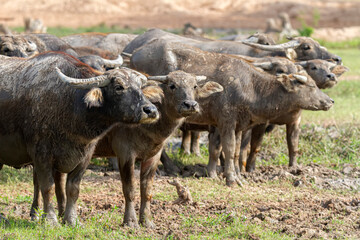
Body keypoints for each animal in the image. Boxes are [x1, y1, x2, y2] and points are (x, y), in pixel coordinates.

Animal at [0, 51, 160, 225]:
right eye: (119, 87)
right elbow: (47, 187)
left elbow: (73, 189)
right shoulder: (41, 154)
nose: (150, 110)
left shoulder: (85, 156)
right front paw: (50, 220)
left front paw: (72, 220)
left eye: (139, 87)